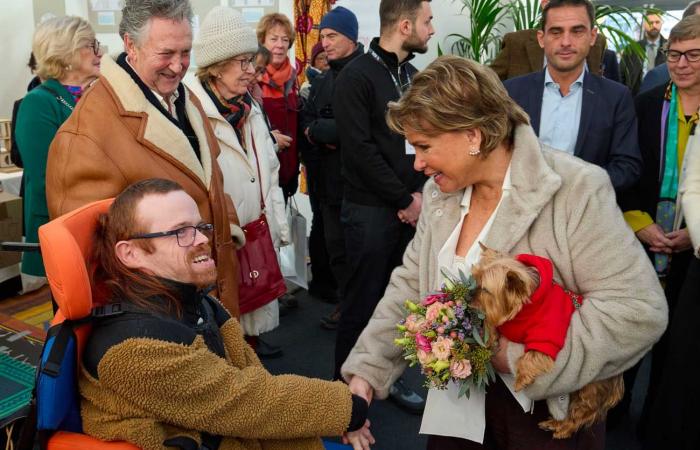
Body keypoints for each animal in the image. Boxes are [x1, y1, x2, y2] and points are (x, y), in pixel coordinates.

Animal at [470, 246, 624, 440]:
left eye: (485, 290)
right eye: (475, 278)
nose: (469, 295)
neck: (527, 307)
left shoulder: (545, 338)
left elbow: (531, 358)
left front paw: (520, 381)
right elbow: (493, 326)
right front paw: (488, 340)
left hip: (590, 388)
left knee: (581, 413)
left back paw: (562, 428)